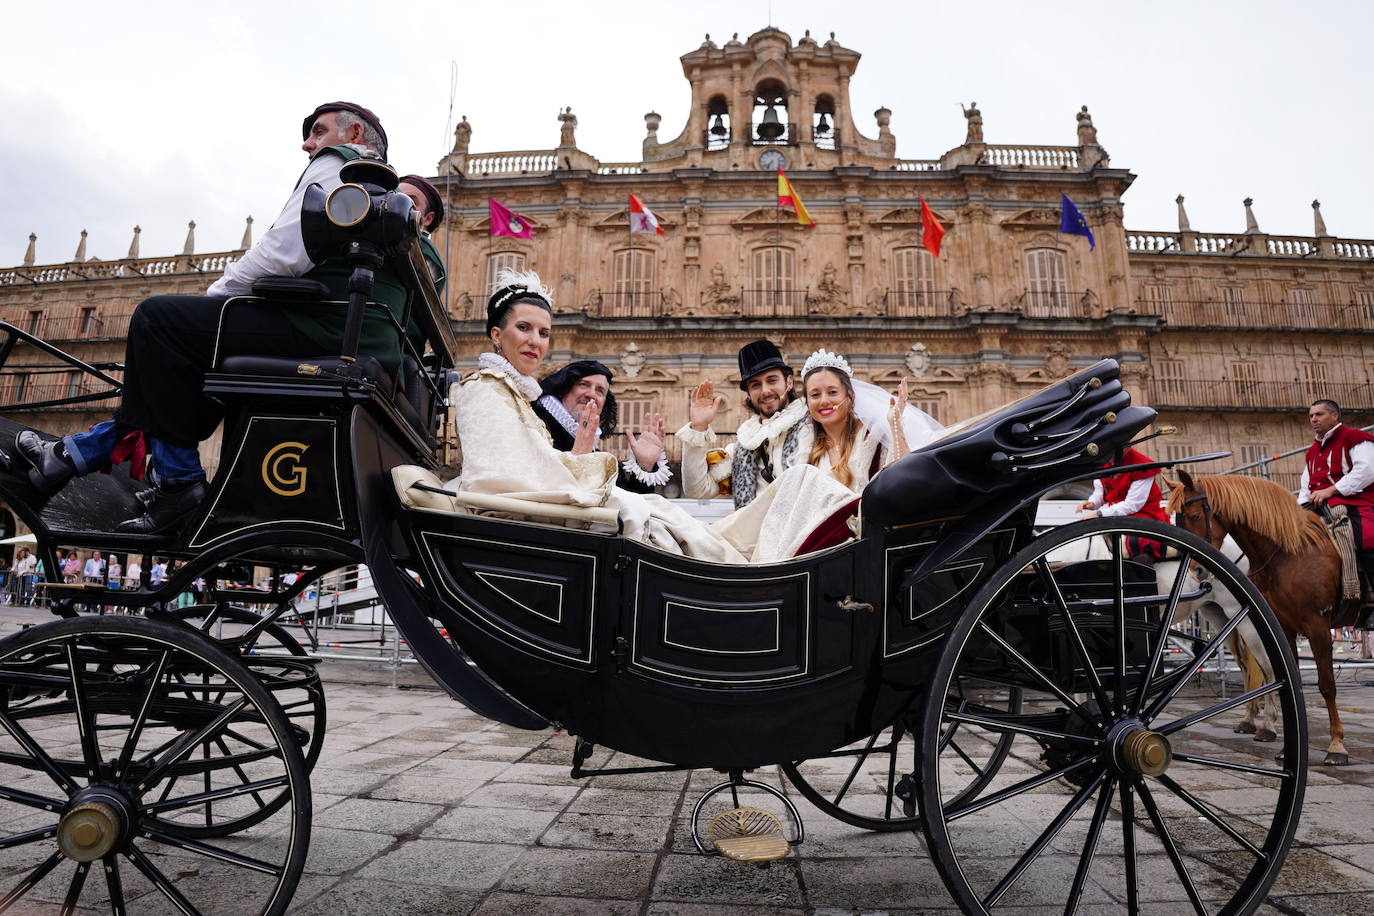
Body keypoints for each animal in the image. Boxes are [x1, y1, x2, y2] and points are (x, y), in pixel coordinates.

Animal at [1165, 472, 1357, 769]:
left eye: (1195, 516)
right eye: (1178, 521)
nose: (1196, 571)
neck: (1290, 551)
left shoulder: (1317, 626)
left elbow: (1326, 685)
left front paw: (1336, 746)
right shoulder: (1286, 627)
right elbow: (1291, 681)